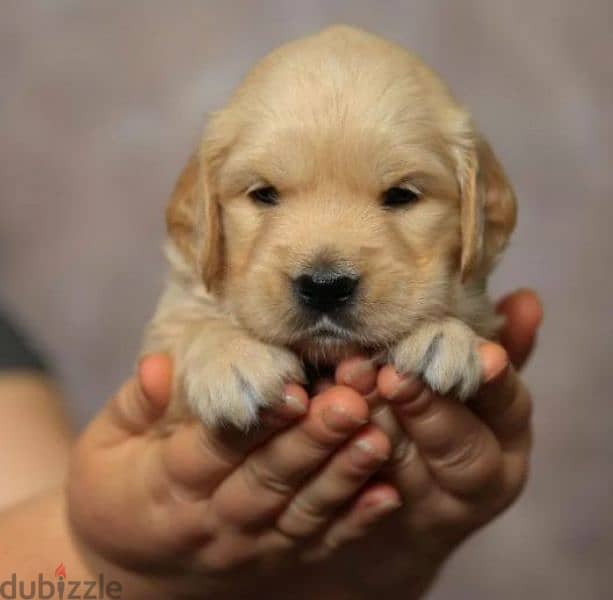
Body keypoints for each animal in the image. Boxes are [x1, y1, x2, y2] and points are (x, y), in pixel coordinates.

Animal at [143, 25, 516, 428]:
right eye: (264, 194)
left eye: (401, 195)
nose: (324, 286)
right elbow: (187, 326)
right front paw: (232, 357)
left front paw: (443, 334)